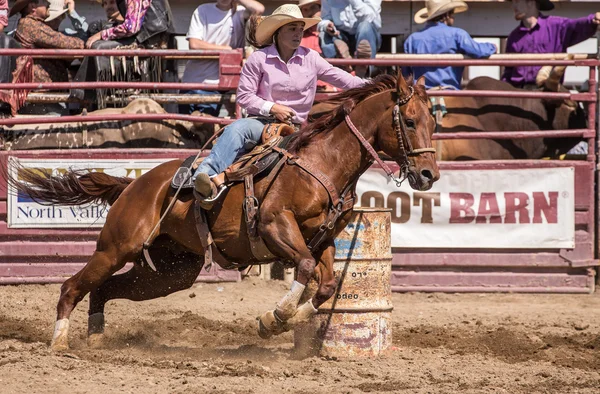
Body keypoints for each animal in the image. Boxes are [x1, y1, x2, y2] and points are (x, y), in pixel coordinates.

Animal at [10, 74, 440, 350]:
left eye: (434, 122)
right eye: (410, 120)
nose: (428, 175)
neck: (324, 163)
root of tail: (132, 185)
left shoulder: (324, 239)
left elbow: (328, 284)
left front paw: (285, 320)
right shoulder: (274, 224)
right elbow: (302, 267)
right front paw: (276, 317)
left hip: (170, 272)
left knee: (103, 289)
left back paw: (97, 339)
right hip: (116, 247)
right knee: (71, 286)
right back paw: (60, 342)